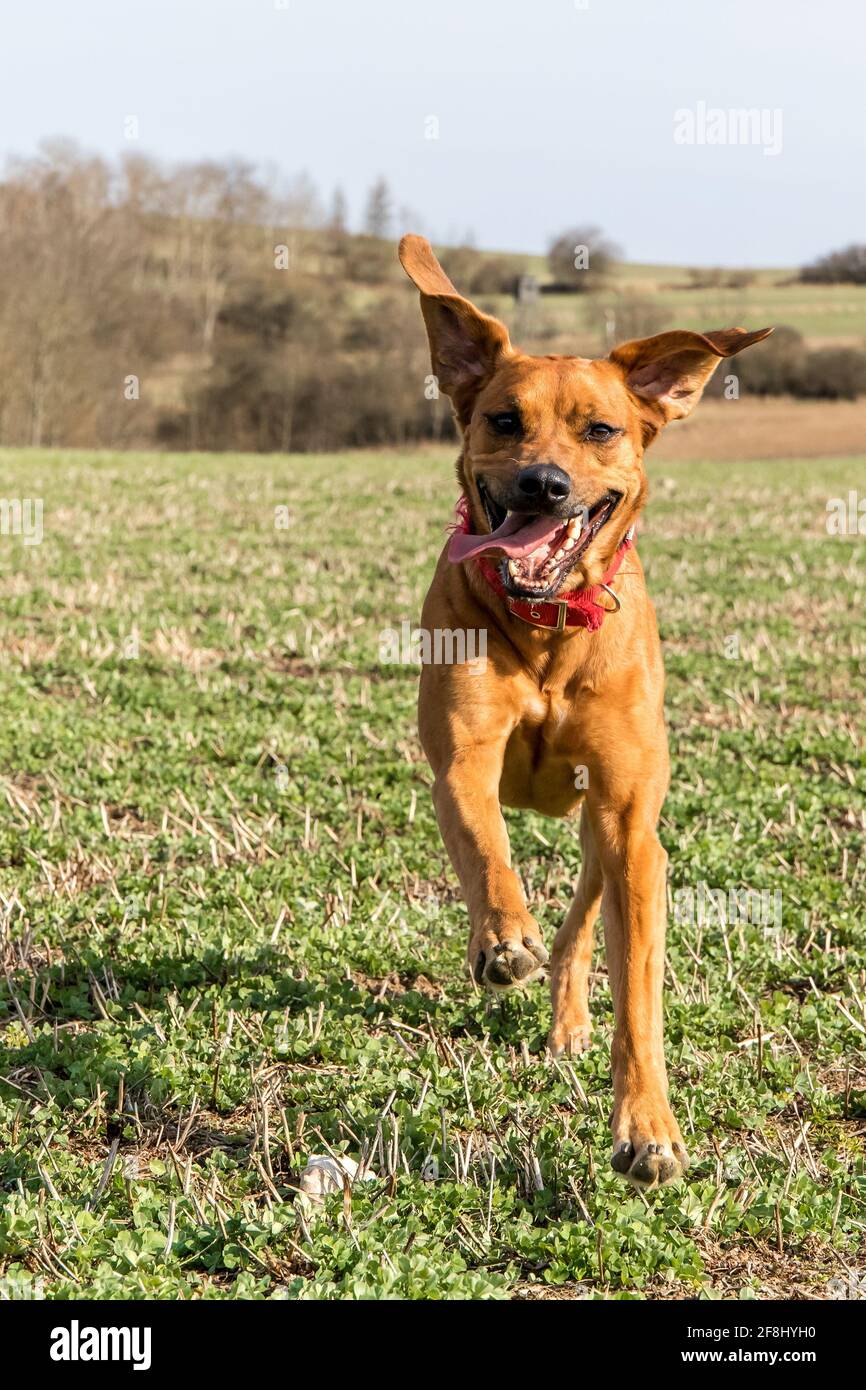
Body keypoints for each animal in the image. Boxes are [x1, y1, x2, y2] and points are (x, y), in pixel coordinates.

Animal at [400, 233, 772, 1189]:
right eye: (504, 420)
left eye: (601, 429)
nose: (543, 484)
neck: (548, 627)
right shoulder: (462, 760)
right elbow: (485, 848)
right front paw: (503, 939)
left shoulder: (630, 819)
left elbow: (637, 992)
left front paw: (648, 1129)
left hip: (611, 832)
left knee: (583, 924)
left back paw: (568, 1020)